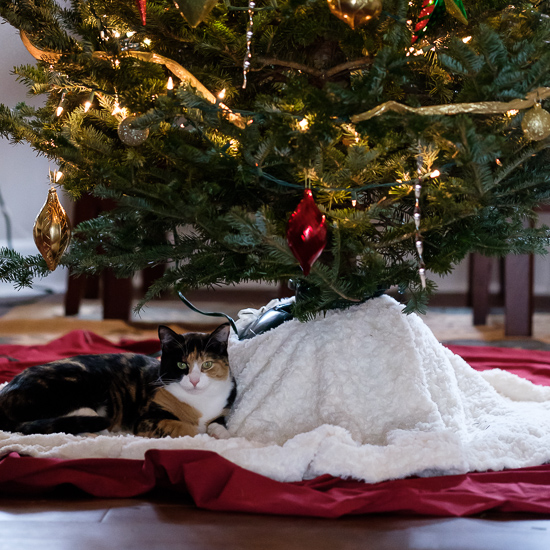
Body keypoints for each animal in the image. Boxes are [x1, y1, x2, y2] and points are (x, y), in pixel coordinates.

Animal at [0, 324, 235, 440]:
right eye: (181, 365)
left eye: (207, 364)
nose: (194, 381)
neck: (200, 403)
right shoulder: (147, 420)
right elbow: (184, 427)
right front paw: (202, 433)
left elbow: (219, 422)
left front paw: (222, 432)